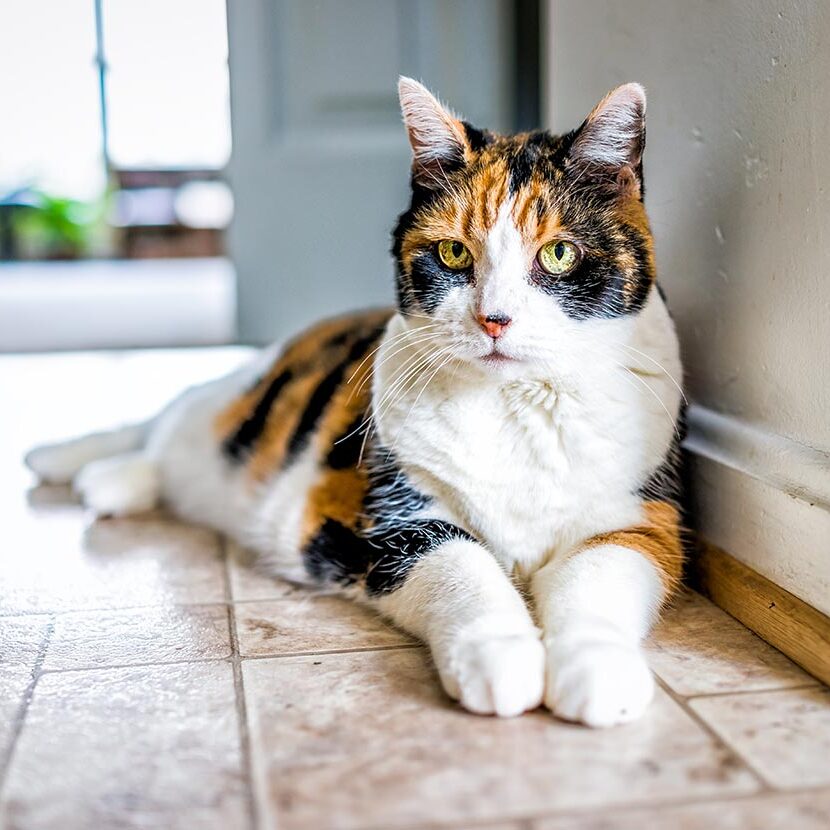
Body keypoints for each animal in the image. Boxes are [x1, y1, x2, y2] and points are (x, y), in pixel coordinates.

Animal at [27, 78, 688, 728]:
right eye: (452, 254)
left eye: (558, 254)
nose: (494, 319)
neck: (512, 406)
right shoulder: (384, 518)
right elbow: (463, 569)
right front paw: (500, 660)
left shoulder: (638, 517)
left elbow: (597, 579)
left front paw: (598, 672)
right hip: (223, 412)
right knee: (167, 420)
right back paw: (81, 468)